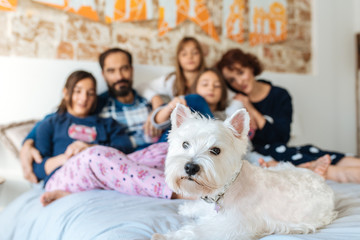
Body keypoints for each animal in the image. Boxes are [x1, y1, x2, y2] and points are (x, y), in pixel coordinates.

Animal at [152, 104, 338, 240]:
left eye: (215, 150)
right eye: (185, 144)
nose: (190, 167)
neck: (226, 189)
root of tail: (322, 181)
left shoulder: (232, 226)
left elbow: (195, 231)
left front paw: (164, 236)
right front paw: (188, 208)